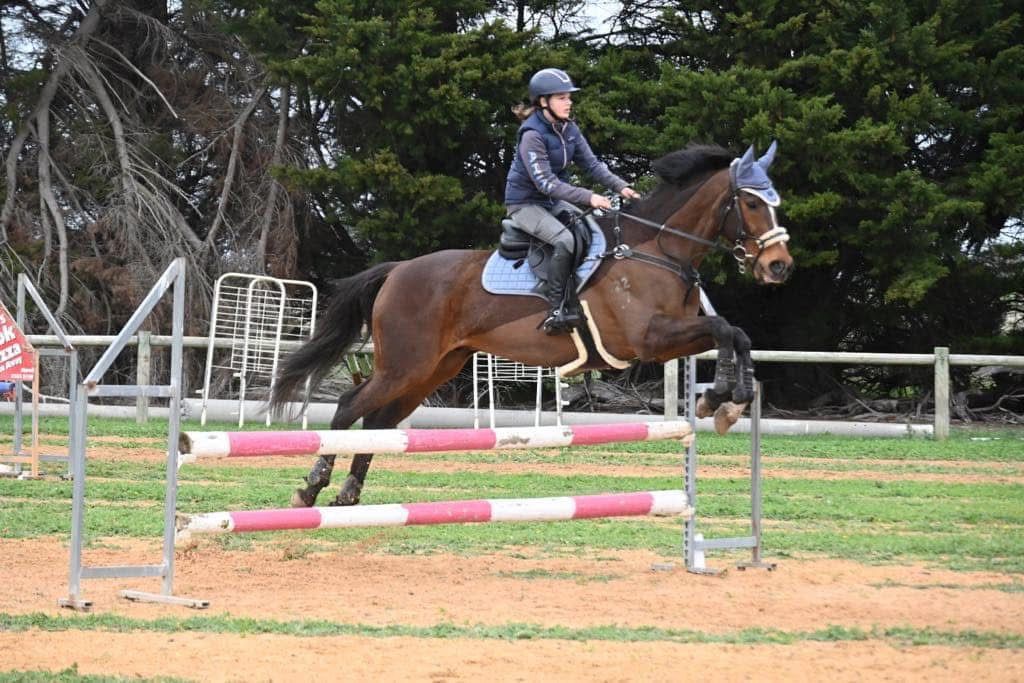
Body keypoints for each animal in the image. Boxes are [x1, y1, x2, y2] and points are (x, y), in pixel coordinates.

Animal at [270, 143, 790, 507]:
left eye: (775, 202)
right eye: (750, 204)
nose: (779, 266)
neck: (656, 249)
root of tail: (399, 270)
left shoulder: (670, 340)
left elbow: (735, 333)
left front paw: (728, 401)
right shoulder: (650, 340)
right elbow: (725, 330)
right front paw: (720, 399)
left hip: (431, 369)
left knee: (379, 421)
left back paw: (349, 492)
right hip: (402, 365)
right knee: (347, 406)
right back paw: (312, 486)